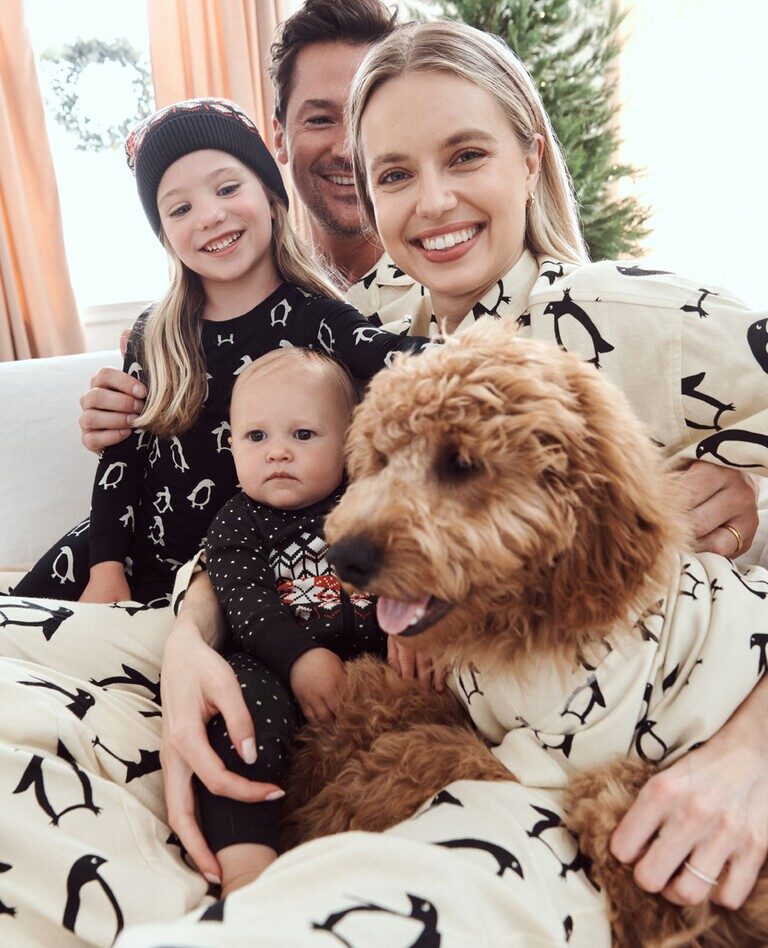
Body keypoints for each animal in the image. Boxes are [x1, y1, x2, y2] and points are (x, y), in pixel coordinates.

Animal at [282, 320, 768, 948]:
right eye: (382, 459)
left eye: (462, 464)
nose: (346, 555)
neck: (527, 620)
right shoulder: (467, 703)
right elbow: (373, 696)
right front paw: (307, 772)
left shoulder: (538, 756)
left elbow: (410, 757)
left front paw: (321, 819)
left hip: (628, 809)